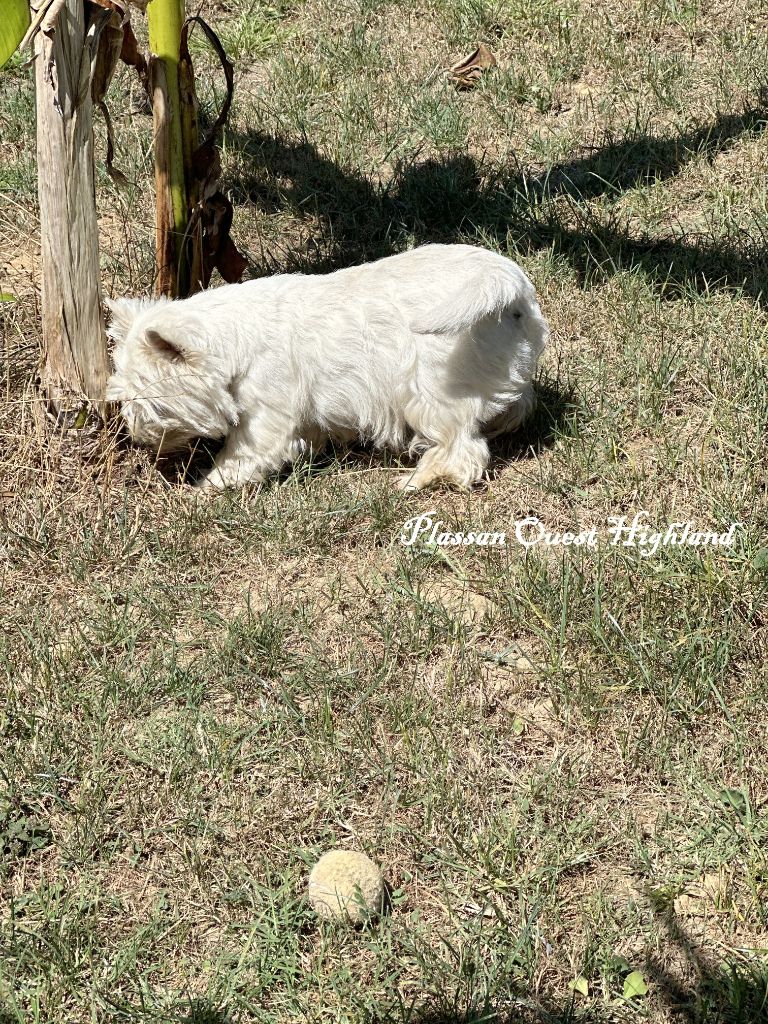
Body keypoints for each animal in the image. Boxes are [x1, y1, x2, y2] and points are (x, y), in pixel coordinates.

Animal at [108, 243, 548, 491]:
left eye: (150, 404)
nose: (138, 440)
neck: (234, 340)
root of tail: (509, 284)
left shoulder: (266, 418)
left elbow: (240, 457)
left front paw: (203, 489)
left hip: (431, 392)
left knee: (463, 448)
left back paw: (415, 480)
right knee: (513, 407)